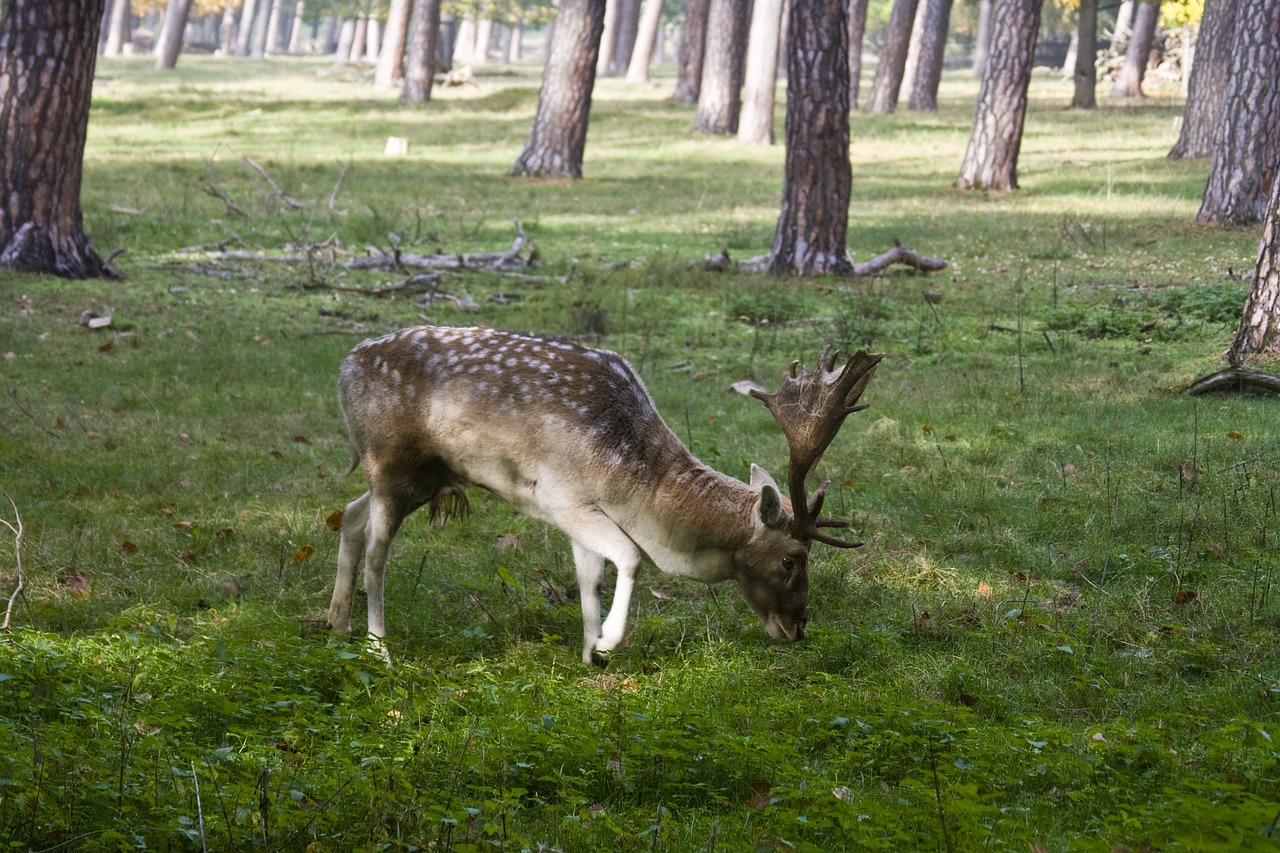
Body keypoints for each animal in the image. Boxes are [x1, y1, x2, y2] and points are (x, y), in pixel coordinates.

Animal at [327, 322, 880, 660]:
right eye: (792, 559)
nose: (798, 628)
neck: (636, 492)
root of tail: (345, 366)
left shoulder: (581, 516)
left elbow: (588, 578)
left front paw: (589, 651)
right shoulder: (563, 498)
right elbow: (630, 558)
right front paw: (610, 643)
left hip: (424, 476)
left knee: (351, 516)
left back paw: (337, 624)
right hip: (390, 459)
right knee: (377, 549)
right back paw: (379, 648)